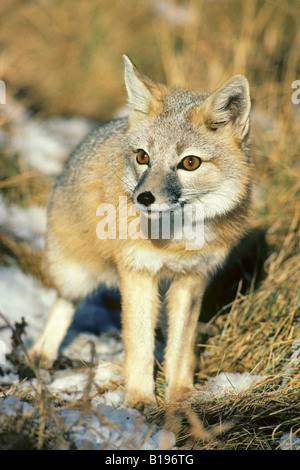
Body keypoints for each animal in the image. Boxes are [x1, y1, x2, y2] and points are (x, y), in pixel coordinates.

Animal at [28, 55, 253, 412]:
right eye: (142, 157)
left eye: (190, 163)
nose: (143, 198)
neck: (175, 240)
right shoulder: (137, 273)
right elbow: (139, 345)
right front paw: (139, 398)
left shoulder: (192, 279)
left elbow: (179, 347)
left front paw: (180, 396)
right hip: (76, 272)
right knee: (65, 301)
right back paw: (42, 352)